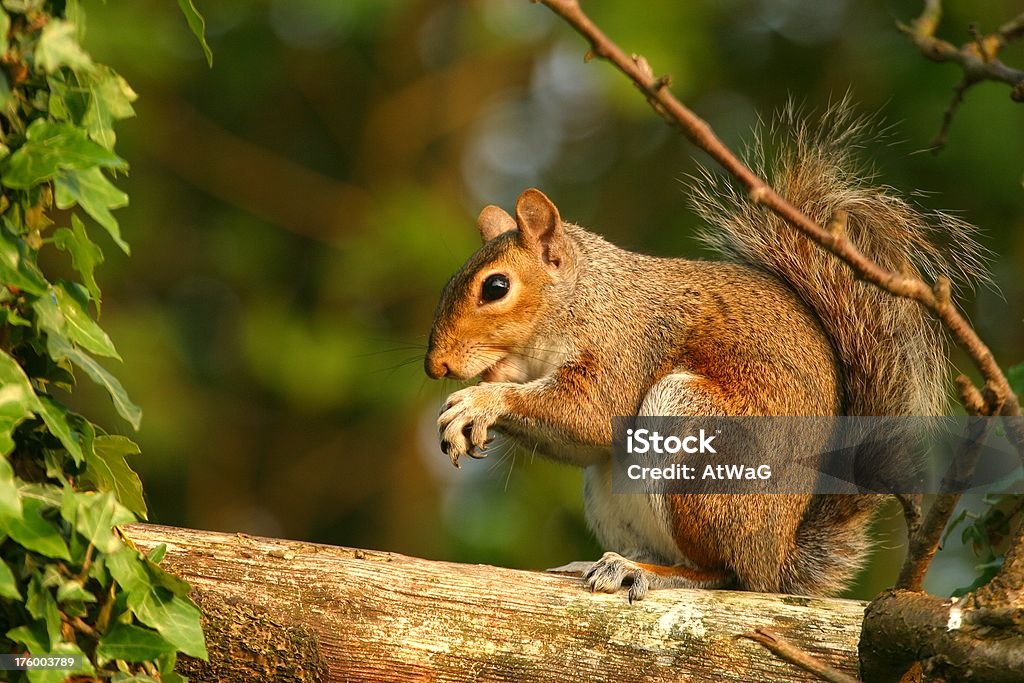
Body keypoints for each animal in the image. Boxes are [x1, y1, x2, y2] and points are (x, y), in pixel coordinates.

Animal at [419, 105, 978, 598]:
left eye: (496, 287)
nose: (436, 365)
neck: (585, 297)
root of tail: (775, 559)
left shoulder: (627, 343)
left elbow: (593, 412)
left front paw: (480, 402)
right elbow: (584, 441)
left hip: (699, 441)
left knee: (720, 572)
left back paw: (641, 572)